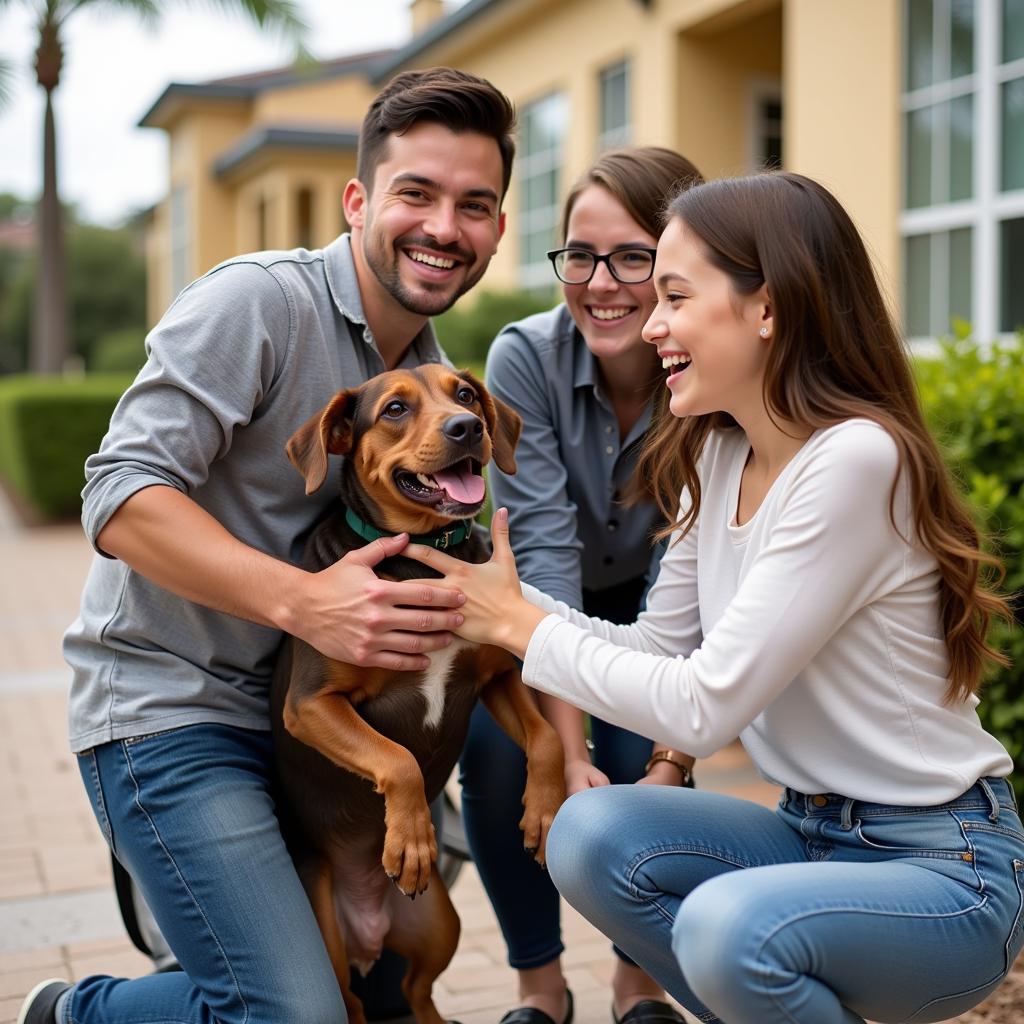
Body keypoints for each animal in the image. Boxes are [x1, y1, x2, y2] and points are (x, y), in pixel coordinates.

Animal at [268, 364, 565, 1024]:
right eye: (396, 409)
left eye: (466, 393)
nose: (468, 427)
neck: (426, 561)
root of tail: (368, 933)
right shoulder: (312, 705)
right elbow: (398, 759)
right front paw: (411, 840)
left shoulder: (496, 677)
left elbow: (547, 738)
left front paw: (543, 810)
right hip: (327, 941)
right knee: (353, 1003)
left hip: (439, 926)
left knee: (416, 992)